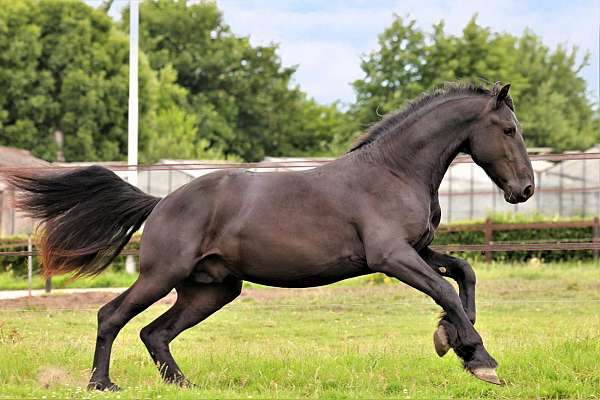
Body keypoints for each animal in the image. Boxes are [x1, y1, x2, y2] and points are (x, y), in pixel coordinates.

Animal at [7, 82, 536, 390]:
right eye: (509, 129)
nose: (525, 189)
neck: (393, 171)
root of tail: (160, 203)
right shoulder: (390, 256)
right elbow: (444, 288)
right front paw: (479, 357)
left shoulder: (418, 249)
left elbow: (463, 275)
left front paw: (455, 342)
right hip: (163, 275)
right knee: (112, 316)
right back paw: (101, 384)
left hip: (211, 289)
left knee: (154, 332)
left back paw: (184, 384)